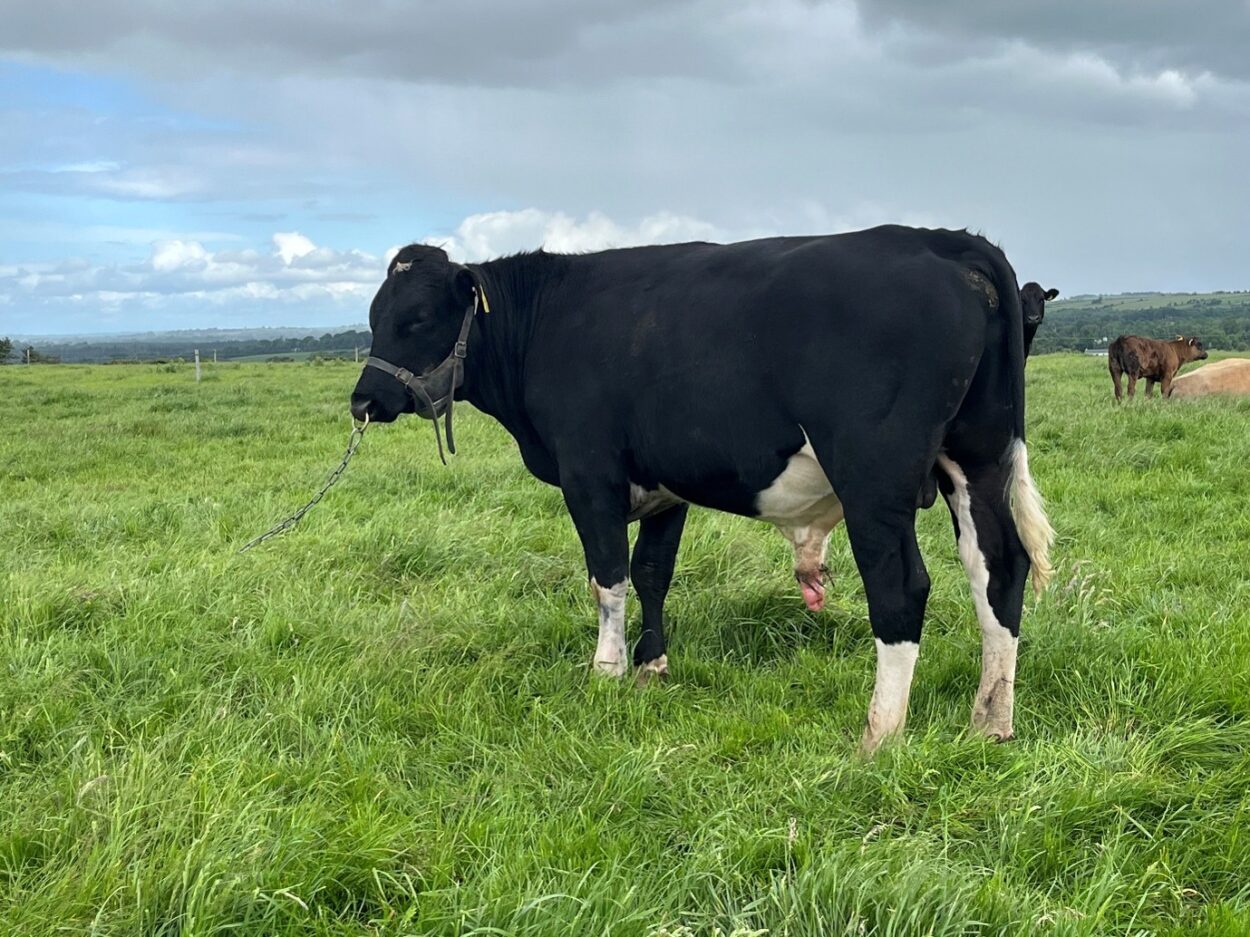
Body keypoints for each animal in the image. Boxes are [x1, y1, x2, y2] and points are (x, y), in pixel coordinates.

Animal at [350, 226, 1054, 752]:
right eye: (375, 317)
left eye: (417, 319)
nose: (364, 400)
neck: (547, 321)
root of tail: (943, 240)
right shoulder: (666, 488)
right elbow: (653, 572)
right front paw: (650, 669)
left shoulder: (588, 475)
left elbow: (608, 577)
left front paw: (605, 673)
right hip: (976, 458)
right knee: (997, 569)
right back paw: (990, 721)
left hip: (873, 478)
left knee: (902, 587)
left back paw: (879, 735)